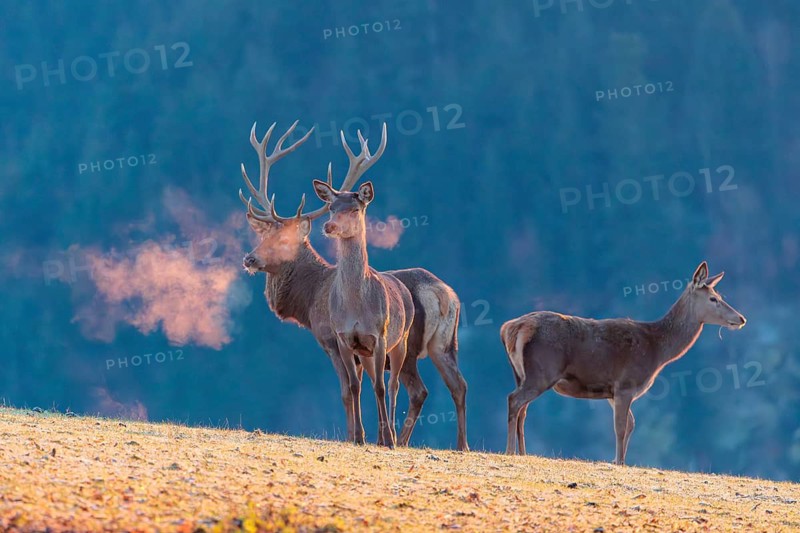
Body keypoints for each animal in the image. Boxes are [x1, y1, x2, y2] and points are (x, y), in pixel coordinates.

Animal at [239, 121, 468, 449]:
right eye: (263, 235)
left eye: (283, 241)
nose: (250, 258)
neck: (310, 300)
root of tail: (446, 293)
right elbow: (358, 387)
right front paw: (361, 435)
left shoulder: (330, 340)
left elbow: (347, 390)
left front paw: (354, 436)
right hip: (443, 344)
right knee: (456, 385)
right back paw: (456, 444)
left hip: (408, 348)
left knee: (417, 389)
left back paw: (402, 439)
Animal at [500, 261, 746, 465]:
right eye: (714, 299)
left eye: (719, 295)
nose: (741, 318)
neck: (657, 351)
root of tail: (510, 328)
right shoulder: (625, 384)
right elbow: (621, 426)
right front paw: (618, 461)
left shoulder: (611, 391)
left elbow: (631, 423)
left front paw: (619, 460)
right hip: (542, 371)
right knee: (514, 400)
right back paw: (510, 451)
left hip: (522, 374)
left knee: (523, 409)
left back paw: (523, 452)